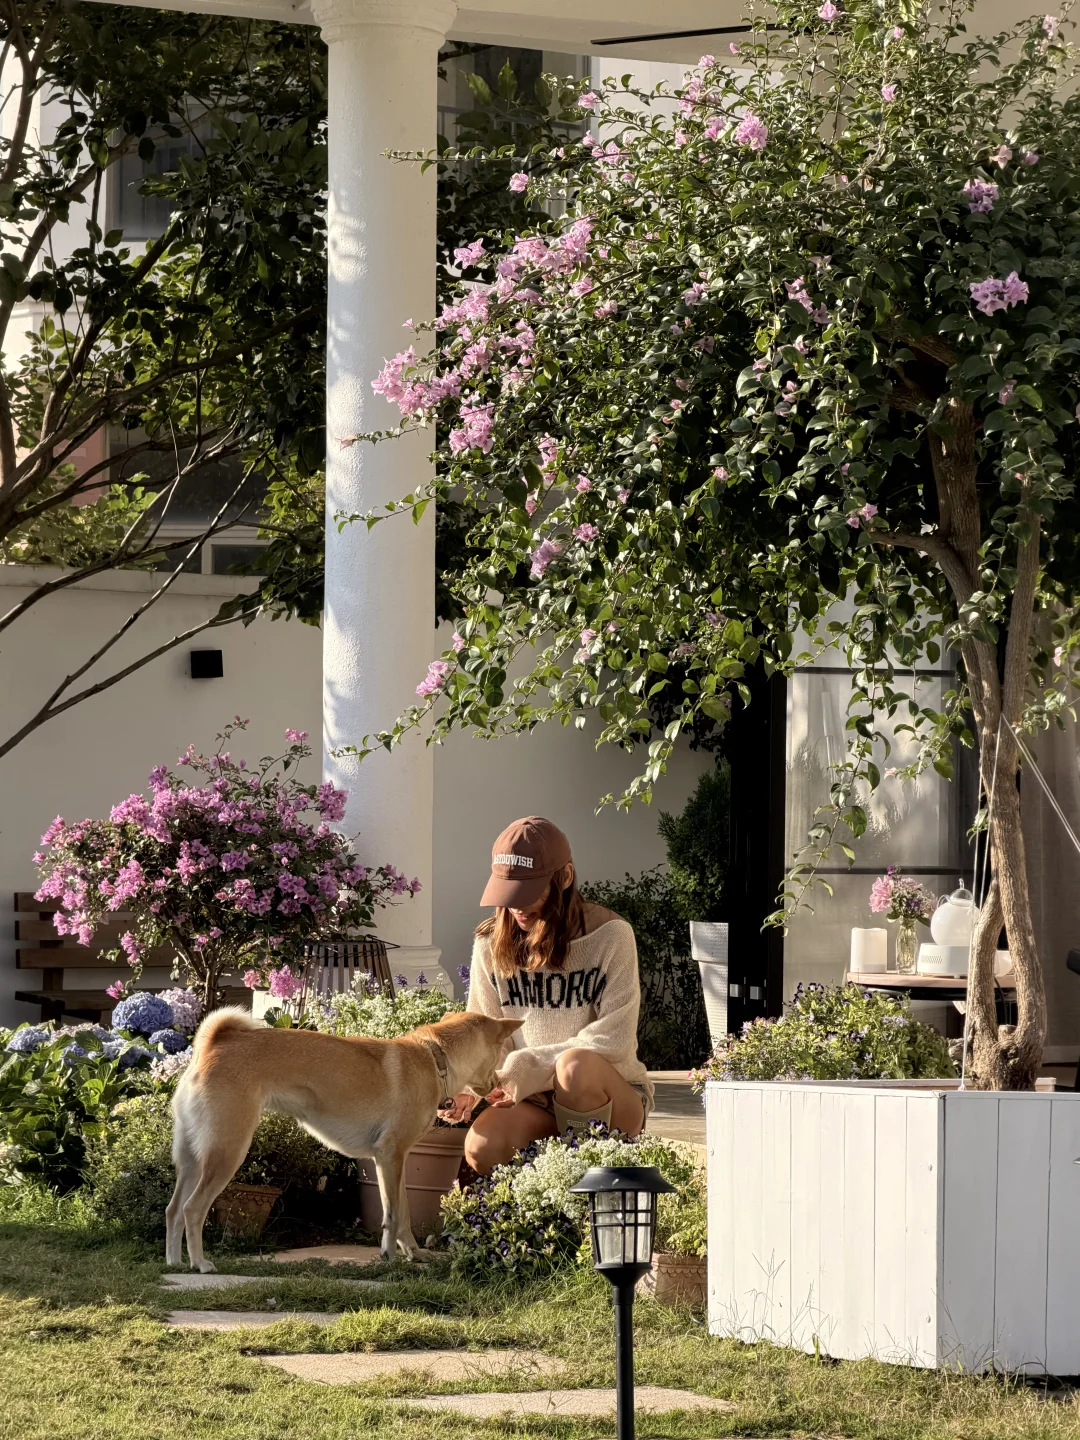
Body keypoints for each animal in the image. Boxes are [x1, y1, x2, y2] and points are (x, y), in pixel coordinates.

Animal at [165, 1006, 523, 1272]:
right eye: (501, 1053)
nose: (499, 1085)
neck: (435, 1059)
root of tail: (213, 1043)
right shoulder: (390, 1156)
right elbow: (392, 1216)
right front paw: (389, 1258)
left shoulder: (396, 1163)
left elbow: (404, 1215)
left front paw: (413, 1253)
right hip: (227, 1151)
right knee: (192, 1208)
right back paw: (200, 1264)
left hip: (192, 1159)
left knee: (173, 1209)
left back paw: (174, 1263)